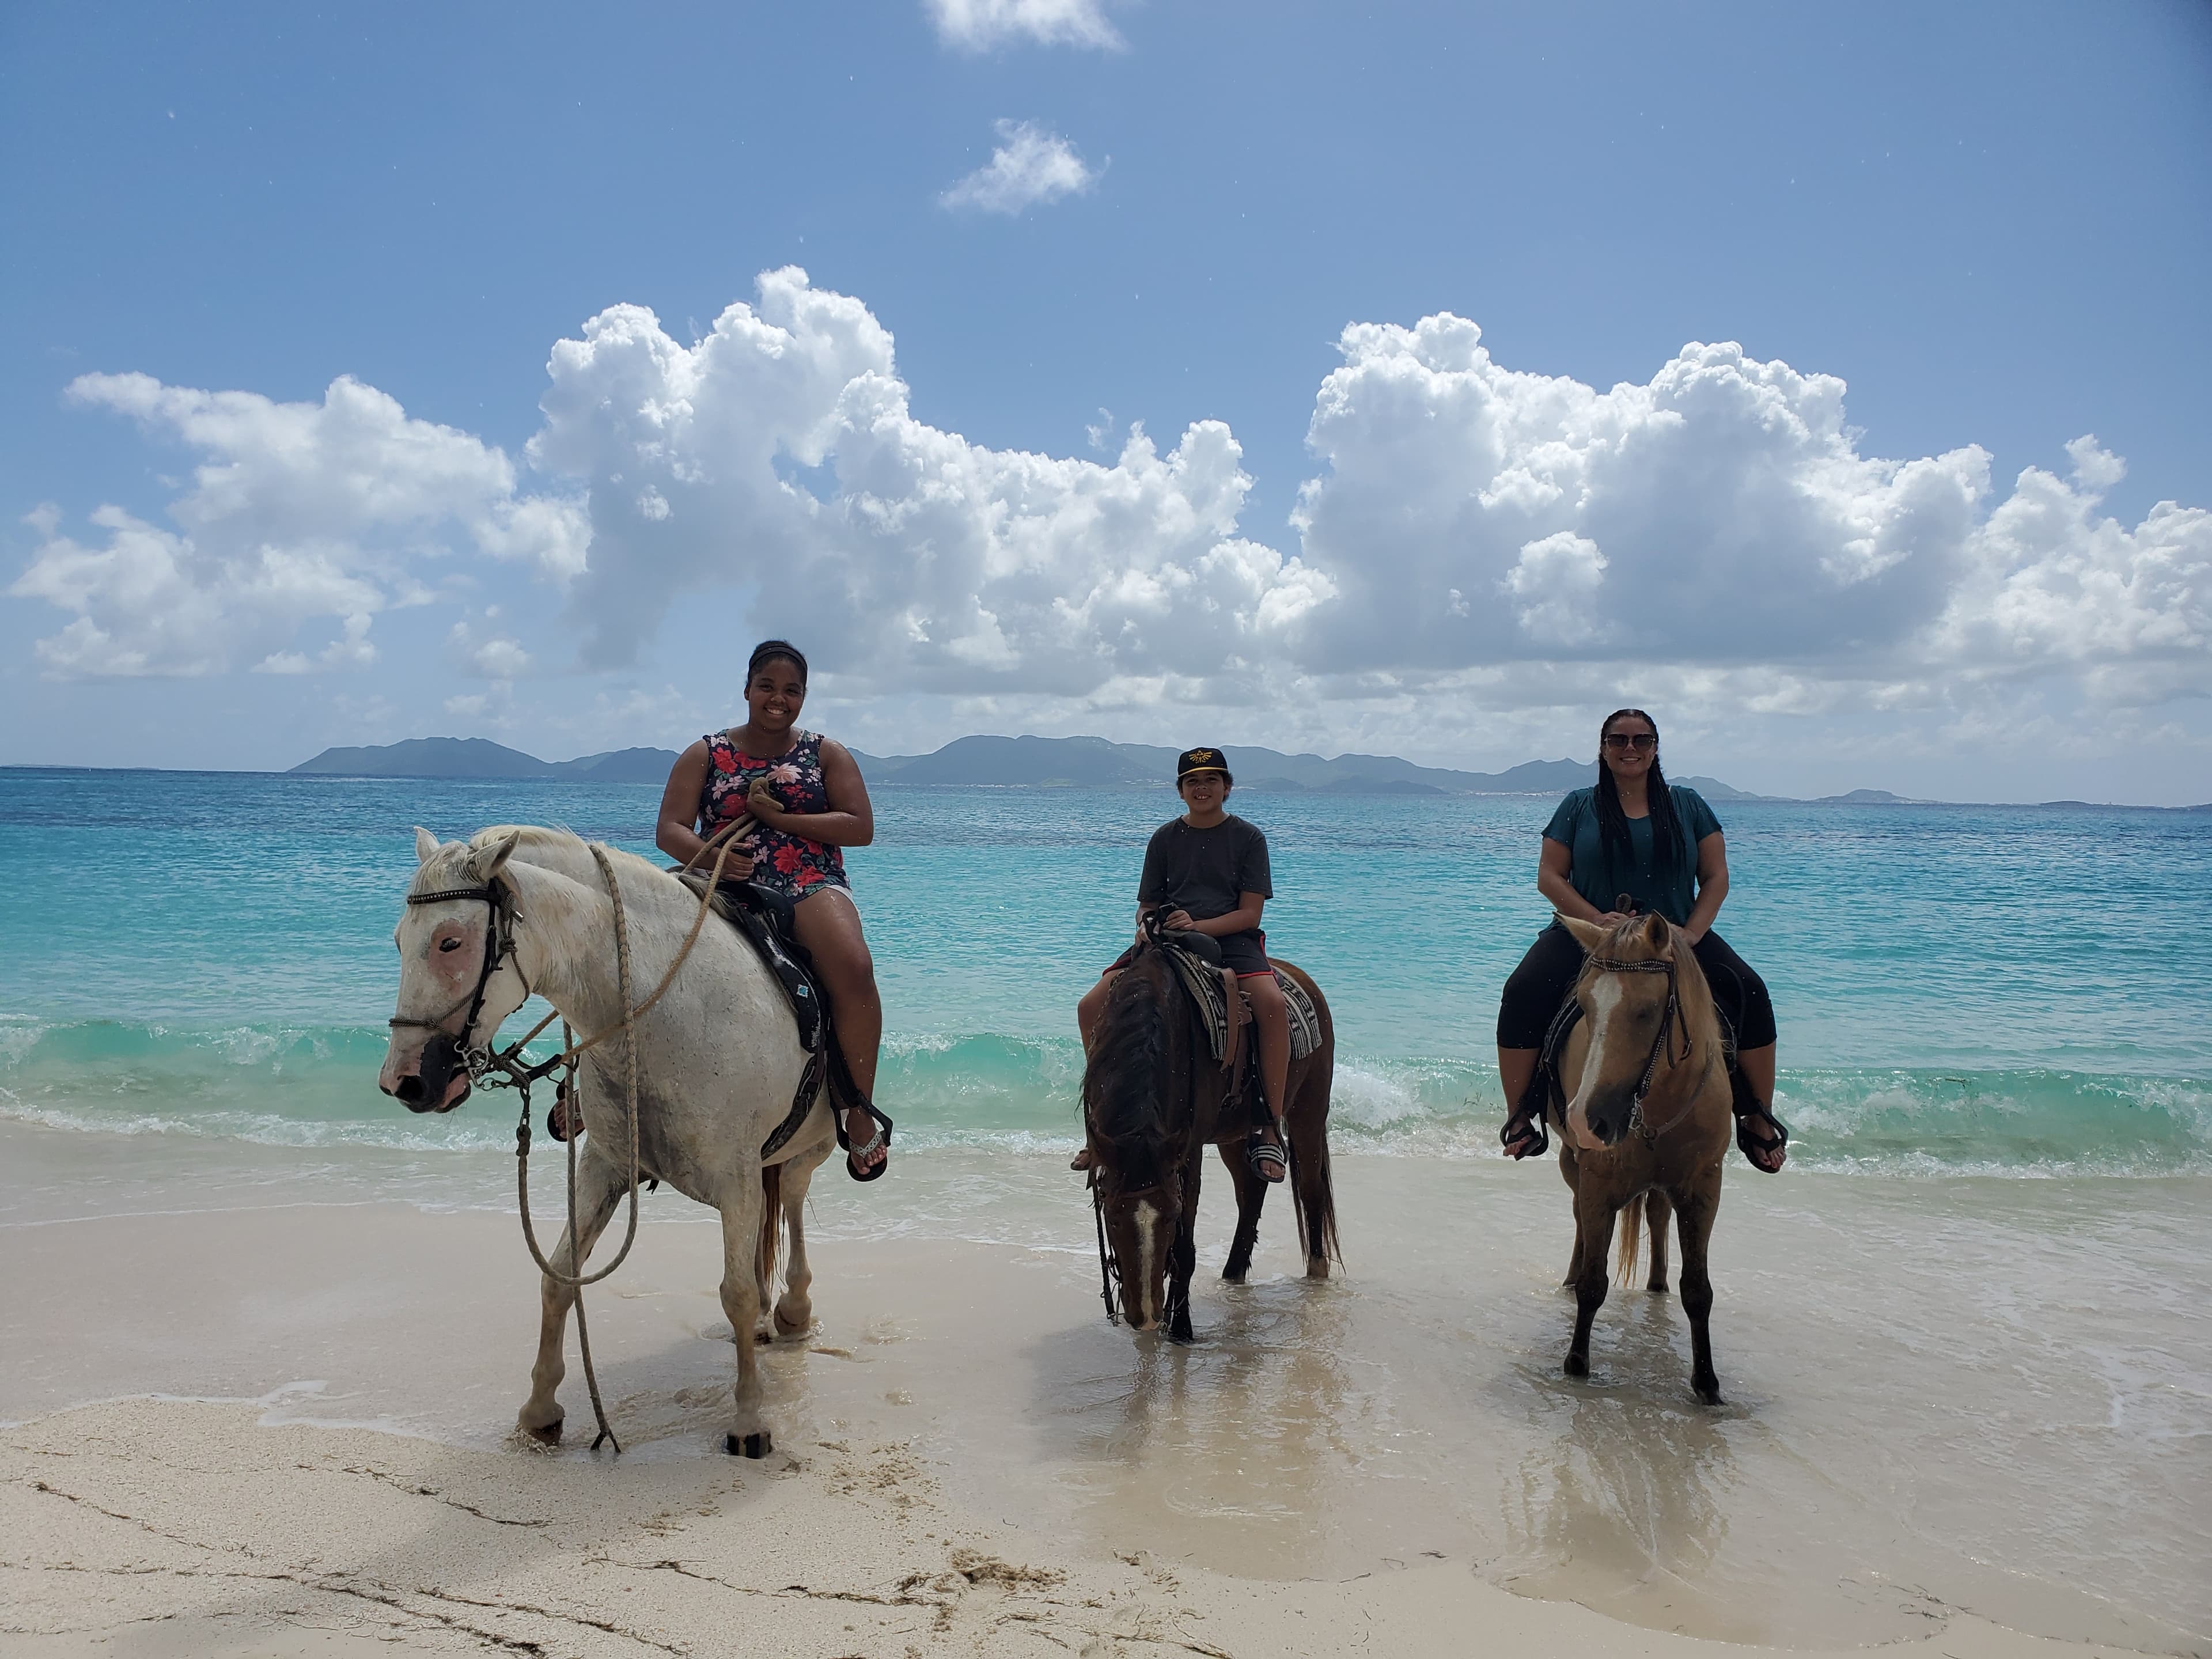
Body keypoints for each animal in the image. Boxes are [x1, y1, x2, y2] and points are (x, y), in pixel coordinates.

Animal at [378, 825, 836, 1457]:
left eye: (450, 942)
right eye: (400, 941)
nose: (405, 1081)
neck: (661, 1012)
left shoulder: (736, 1177)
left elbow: (738, 1293)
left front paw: (749, 1421)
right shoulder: (603, 1165)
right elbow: (559, 1274)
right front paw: (540, 1411)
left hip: (808, 1148)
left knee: (790, 1194)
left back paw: (793, 1310)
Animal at [1082, 932, 1338, 1340]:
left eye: (1169, 1217)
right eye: (1113, 1217)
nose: (1147, 1317)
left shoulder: (1189, 1149)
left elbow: (1185, 1247)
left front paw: (1181, 1329)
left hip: (1308, 1111)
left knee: (1311, 1192)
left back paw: (1315, 1278)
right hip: (1235, 1133)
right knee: (1252, 1190)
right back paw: (1232, 1275)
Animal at [1545, 911, 1736, 1403]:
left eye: (1647, 1011)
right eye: (1584, 1005)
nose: (1585, 1120)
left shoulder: (1704, 1190)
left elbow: (1698, 1291)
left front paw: (1707, 1384)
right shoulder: (1597, 1184)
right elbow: (1594, 1282)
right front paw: (1577, 1365)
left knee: (1657, 1213)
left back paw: (1657, 1283)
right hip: (1573, 1166)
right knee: (1580, 1220)